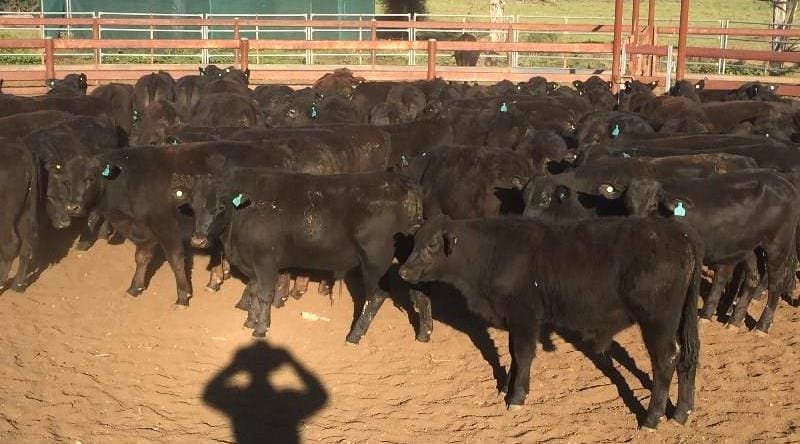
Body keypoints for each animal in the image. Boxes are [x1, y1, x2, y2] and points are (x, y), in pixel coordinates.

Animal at [400, 215, 700, 430]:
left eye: (431, 245)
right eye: (413, 243)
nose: (403, 271)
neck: (492, 252)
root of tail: (682, 236)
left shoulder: (524, 316)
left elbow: (523, 354)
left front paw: (516, 397)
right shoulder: (513, 319)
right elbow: (513, 354)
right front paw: (506, 387)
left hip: (657, 323)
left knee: (665, 362)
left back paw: (652, 418)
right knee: (687, 358)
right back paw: (681, 413)